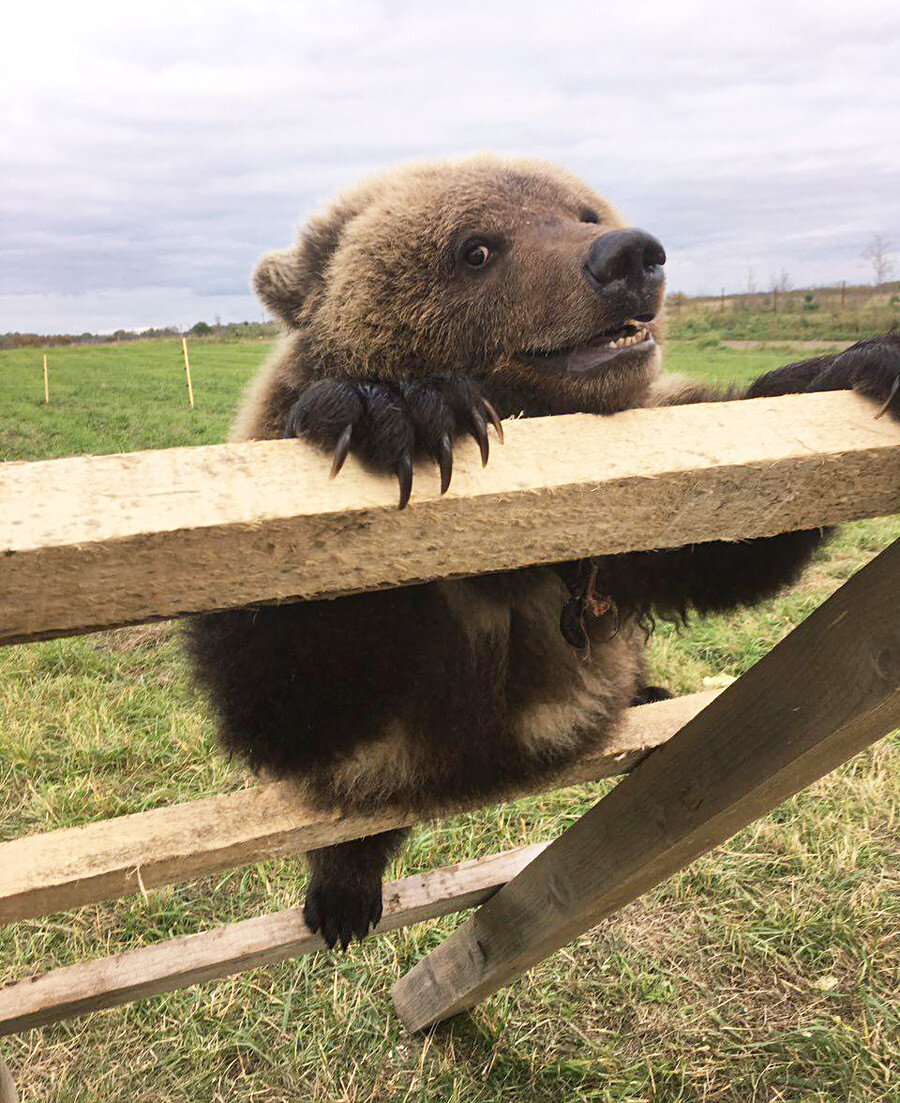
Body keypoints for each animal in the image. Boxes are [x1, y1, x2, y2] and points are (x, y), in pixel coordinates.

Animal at [186, 153, 900, 948]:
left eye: (583, 212)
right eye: (476, 248)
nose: (628, 255)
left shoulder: (612, 536)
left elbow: (726, 540)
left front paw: (862, 361)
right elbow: (287, 686)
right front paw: (396, 407)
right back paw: (344, 891)